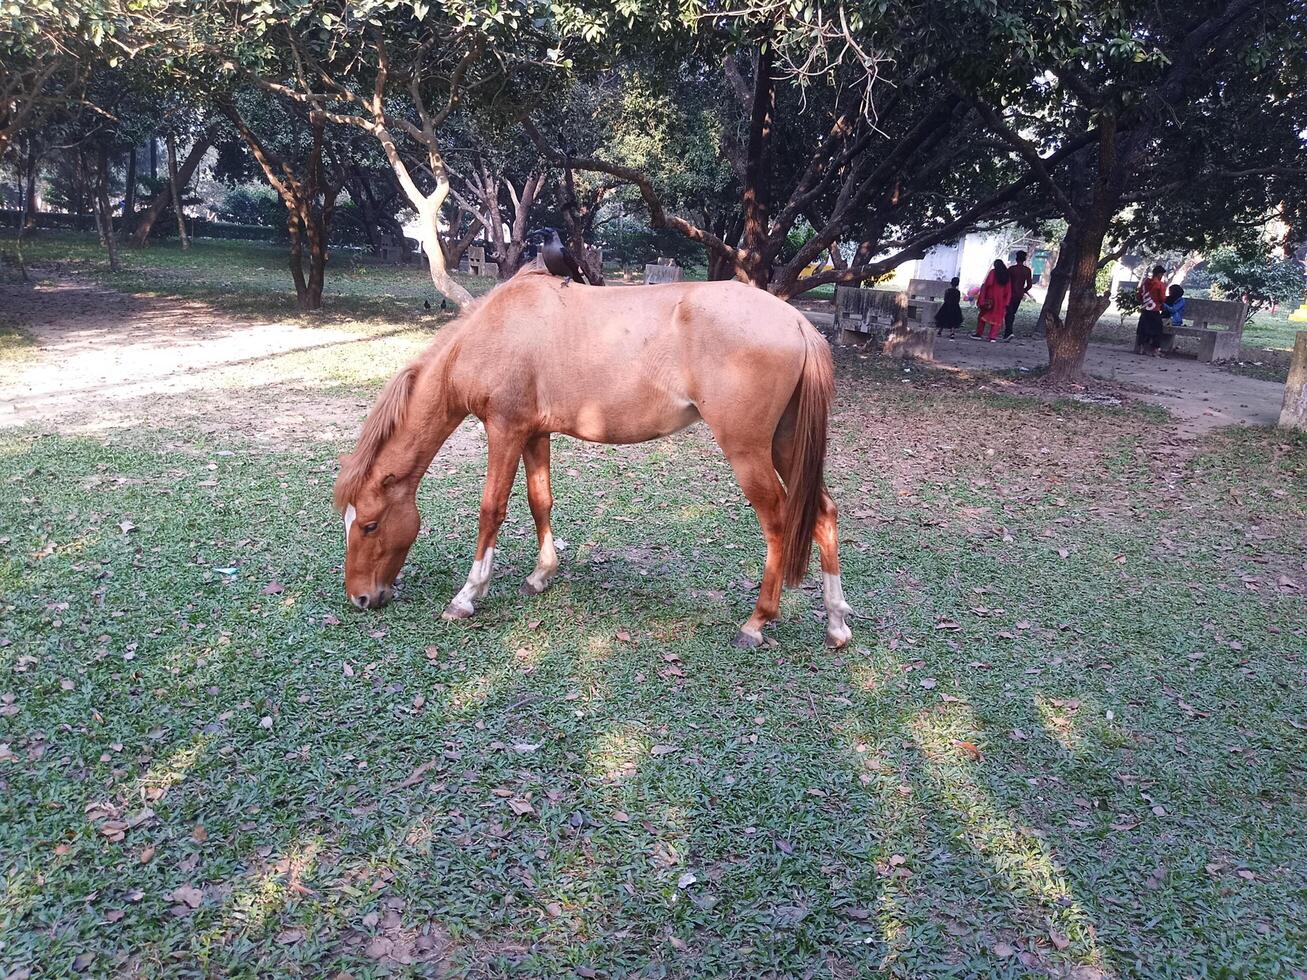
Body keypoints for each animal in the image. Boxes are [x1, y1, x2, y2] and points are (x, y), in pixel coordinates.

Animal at [331, 273, 852, 648]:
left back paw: (757, 622)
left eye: (370, 525)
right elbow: (539, 500)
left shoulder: (504, 430)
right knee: (823, 512)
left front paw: (468, 595)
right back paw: (836, 624)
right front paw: (541, 574)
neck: (493, 332)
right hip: (786, 443)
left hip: (748, 451)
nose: (360, 598)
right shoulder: (534, 433)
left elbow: (491, 511)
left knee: (778, 522)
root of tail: (797, 322)